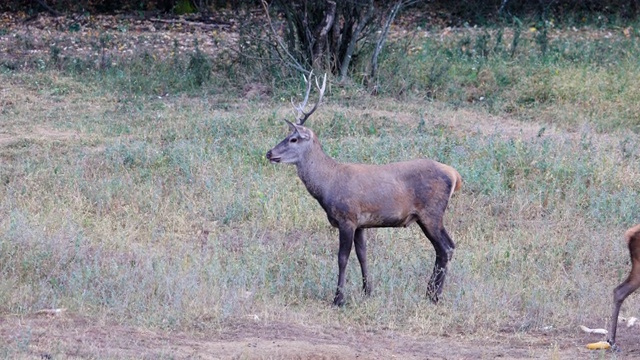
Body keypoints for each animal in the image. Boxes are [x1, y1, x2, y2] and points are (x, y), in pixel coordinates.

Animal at [264, 71, 460, 306]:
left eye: (293, 139)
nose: (269, 153)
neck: (327, 185)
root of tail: (455, 175)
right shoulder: (361, 224)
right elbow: (363, 255)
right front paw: (368, 291)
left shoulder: (347, 217)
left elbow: (342, 258)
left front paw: (339, 298)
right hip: (430, 215)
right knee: (448, 246)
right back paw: (431, 292)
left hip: (431, 211)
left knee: (445, 248)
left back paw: (433, 295)